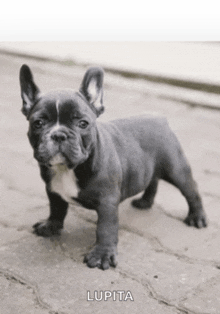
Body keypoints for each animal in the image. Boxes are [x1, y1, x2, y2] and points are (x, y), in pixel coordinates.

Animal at [19, 64, 207, 270]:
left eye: (83, 123)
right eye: (38, 123)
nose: (59, 134)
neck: (68, 169)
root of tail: (160, 119)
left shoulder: (107, 201)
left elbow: (105, 228)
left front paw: (102, 255)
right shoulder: (53, 190)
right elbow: (56, 209)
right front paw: (51, 226)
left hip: (175, 169)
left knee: (191, 190)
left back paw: (197, 217)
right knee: (153, 181)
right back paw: (145, 202)